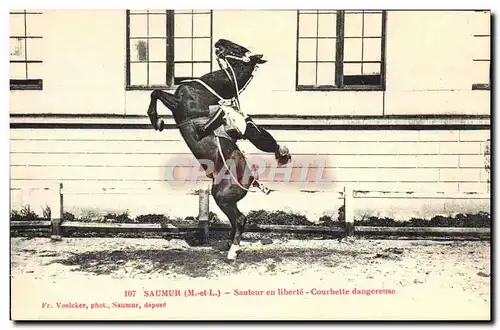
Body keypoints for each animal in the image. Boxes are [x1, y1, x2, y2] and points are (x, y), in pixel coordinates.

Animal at [146, 38, 292, 260]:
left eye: (238, 48)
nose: (220, 41)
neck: (205, 90)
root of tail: (251, 179)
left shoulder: (179, 105)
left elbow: (156, 92)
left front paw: (156, 119)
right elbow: (156, 93)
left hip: (222, 197)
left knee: (240, 219)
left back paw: (233, 250)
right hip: (227, 200)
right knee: (237, 220)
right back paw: (228, 244)